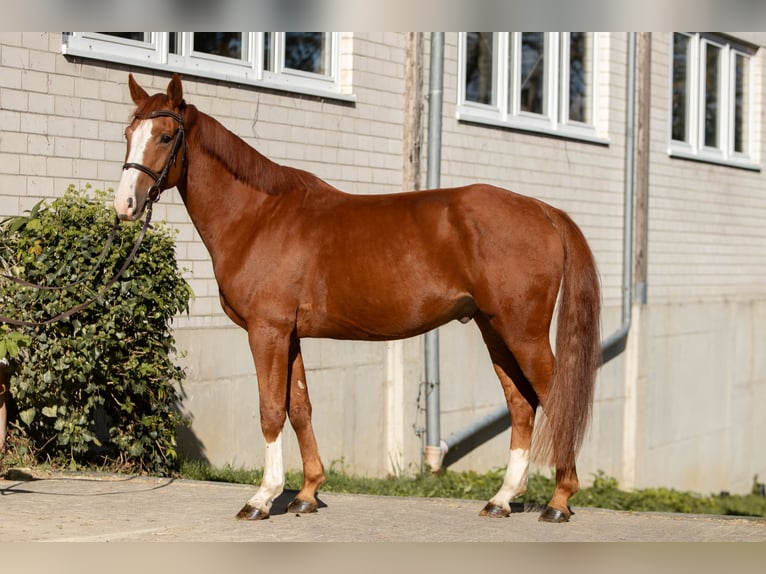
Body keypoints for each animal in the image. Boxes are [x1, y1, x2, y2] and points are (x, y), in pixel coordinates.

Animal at [117, 74, 604, 524]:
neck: (259, 217)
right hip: (495, 330)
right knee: (521, 405)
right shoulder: (290, 335)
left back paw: (559, 501)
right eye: (128, 132)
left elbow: (271, 410)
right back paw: (502, 499)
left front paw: (262, 498)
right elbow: (300, 408)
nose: (125, 204)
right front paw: (307, 492)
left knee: (555, 399)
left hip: (523, 332)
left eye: (165, 136)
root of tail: (543, 210)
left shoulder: (266, 331)